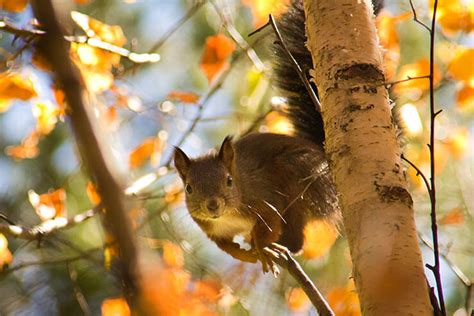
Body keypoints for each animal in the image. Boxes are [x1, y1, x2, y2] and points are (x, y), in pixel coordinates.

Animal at [172, 0, 384, 272]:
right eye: (189, 188)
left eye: (229, 180)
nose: (212, 205)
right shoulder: (213, 232)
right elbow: (227, 247)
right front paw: (245, 254)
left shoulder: (266, 201)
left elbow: (270, 224)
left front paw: (262, 248)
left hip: (300, 177)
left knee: (296, 238)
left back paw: (280, 246)